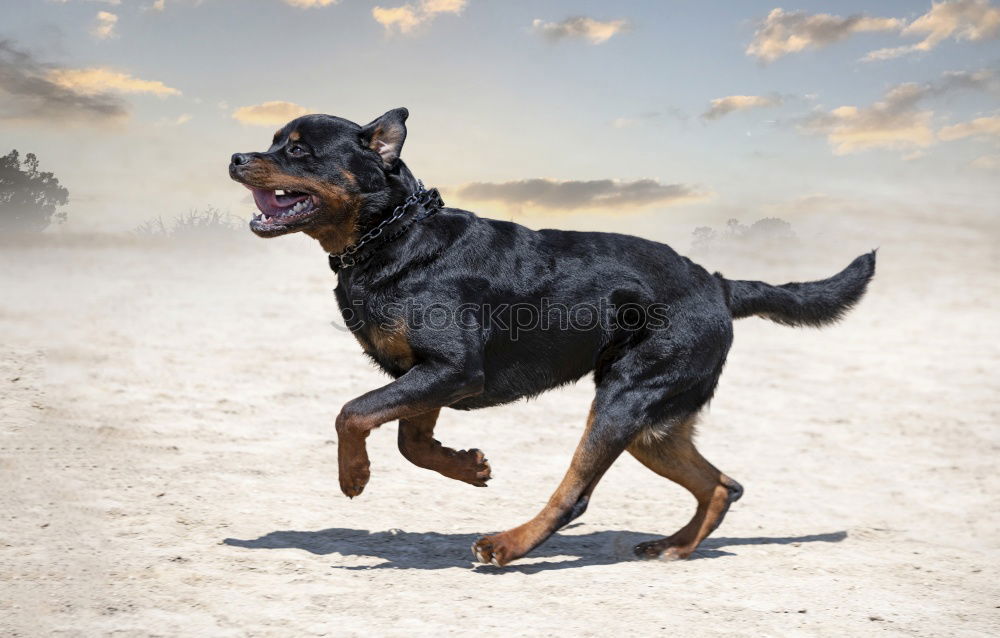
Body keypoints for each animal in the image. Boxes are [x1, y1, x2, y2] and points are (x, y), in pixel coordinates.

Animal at [229, 110, 876, 568]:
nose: (236, 157)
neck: (392, 234)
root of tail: (717, 283)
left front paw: (354, 476)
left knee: (577, 493)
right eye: (273, 140)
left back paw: (508, 545)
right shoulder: (427, 374)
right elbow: (410, 440)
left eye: (298, 149)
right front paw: (469, 467)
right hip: (655, 424)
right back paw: (675, 546)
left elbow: (353, 412)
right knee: (722, 484)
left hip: (624, 399)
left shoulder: (453, 369)